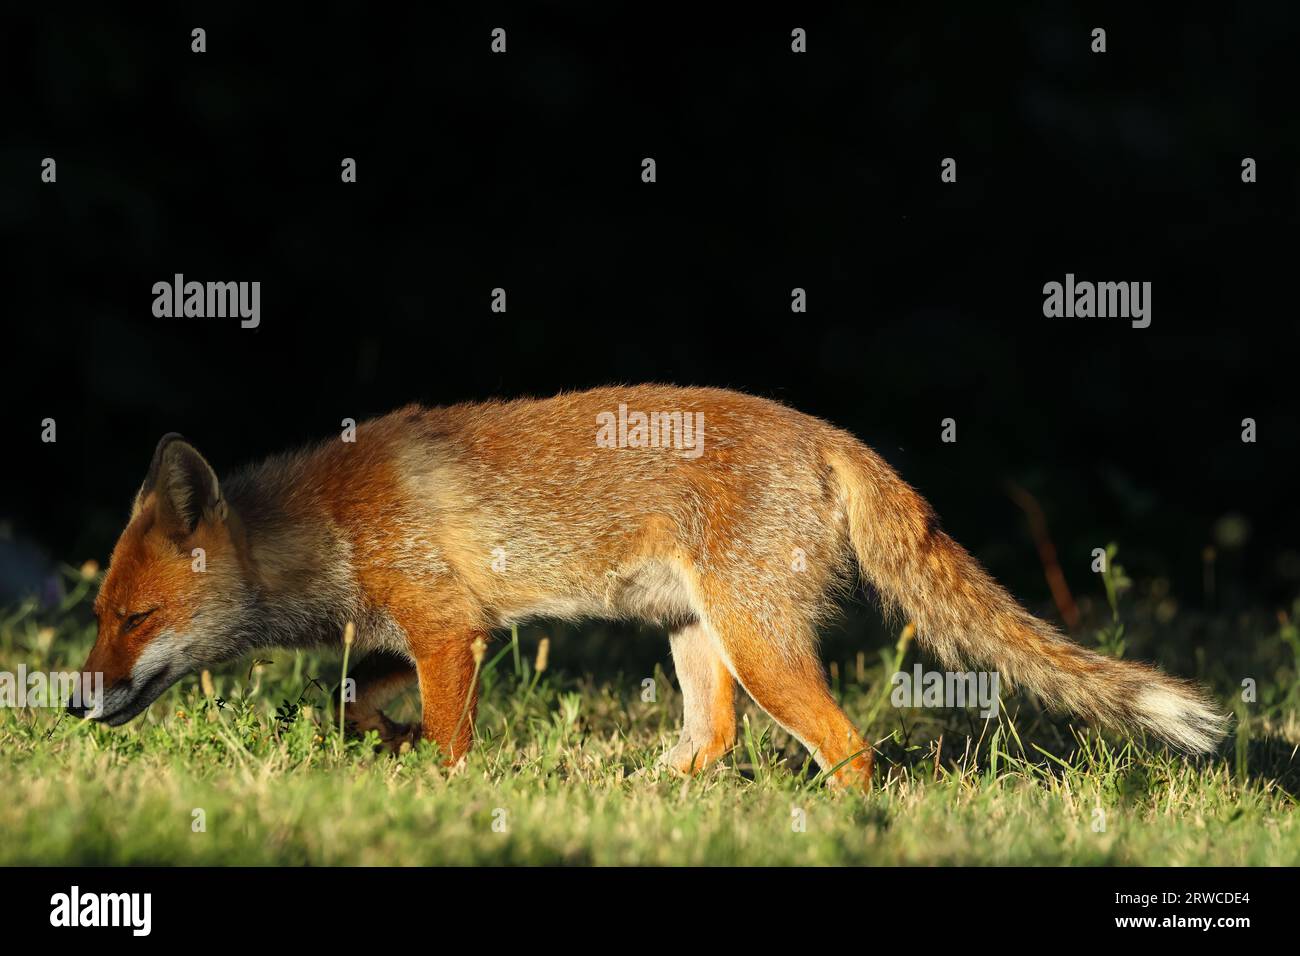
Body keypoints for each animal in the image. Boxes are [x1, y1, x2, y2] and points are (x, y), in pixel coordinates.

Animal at [73, 385, 1227, 790]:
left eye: (137, 617)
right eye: (99, 618)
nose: (76, 702)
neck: (335, 521)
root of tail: (832, 432)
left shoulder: (450, 632)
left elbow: (446, 742)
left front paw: (437, 788)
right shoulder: (424, 629)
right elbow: (354, 699)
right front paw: (380, 746)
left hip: (758, 645)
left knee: (849, 747)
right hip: (696, 637)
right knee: (710, 741)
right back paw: (654, 794)